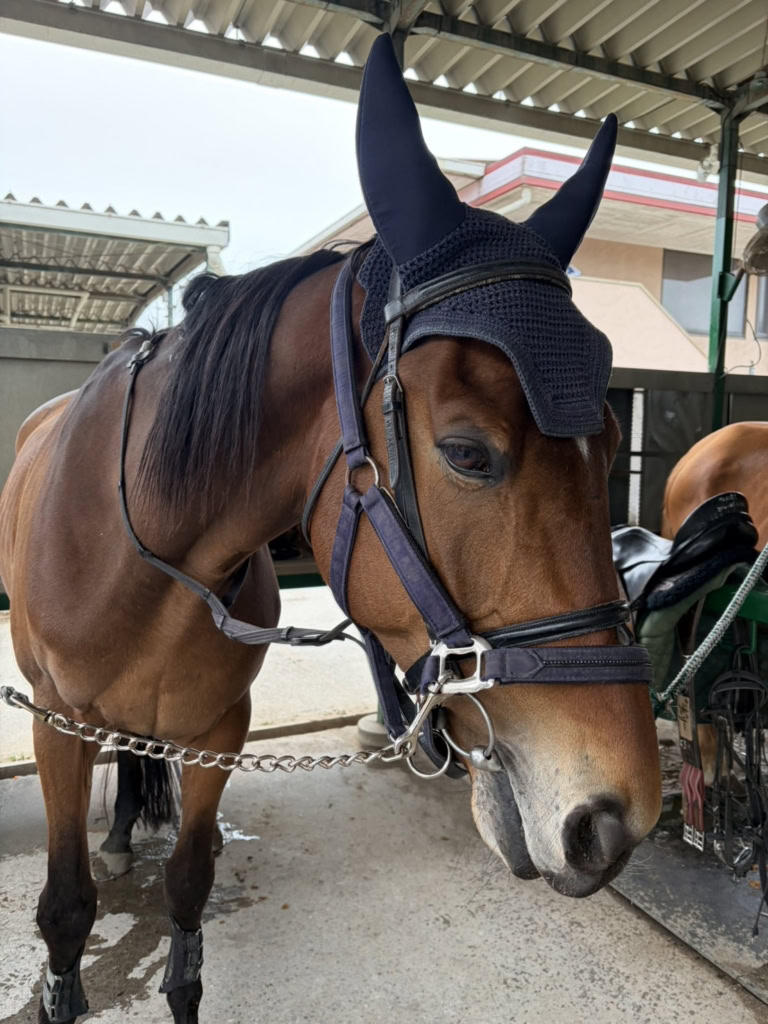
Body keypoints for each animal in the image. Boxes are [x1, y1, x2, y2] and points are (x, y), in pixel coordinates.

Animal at [0, 34, 661, 1024]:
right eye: (466, 452)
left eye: (613, 442)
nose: (615, 820)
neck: (142, 557)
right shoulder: (55, 724)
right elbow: (67, 911)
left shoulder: (216, 730)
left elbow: (189, 893)